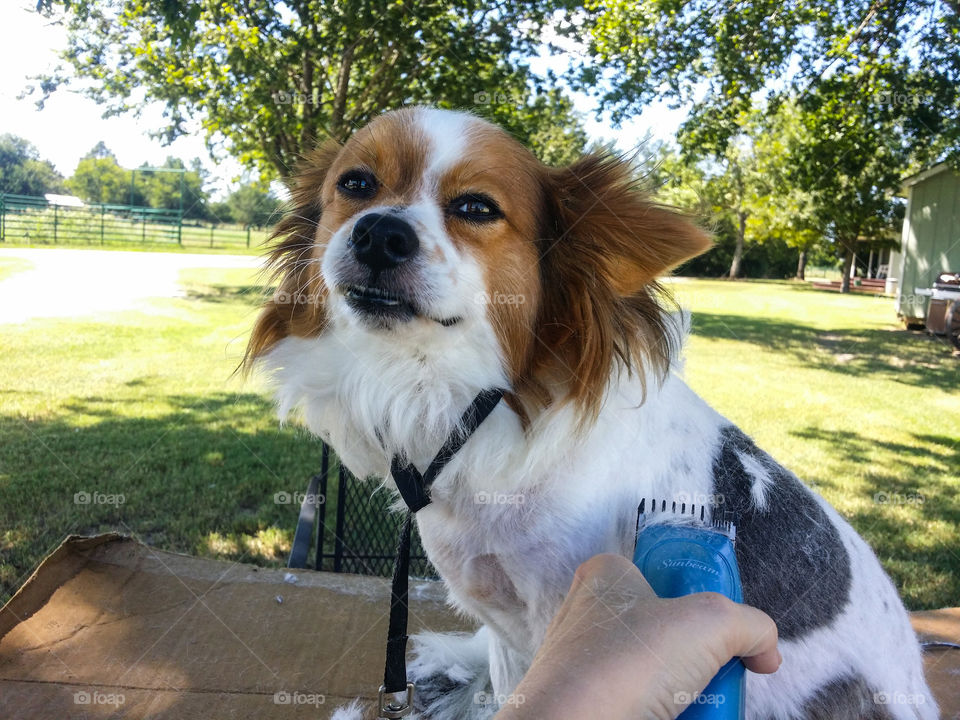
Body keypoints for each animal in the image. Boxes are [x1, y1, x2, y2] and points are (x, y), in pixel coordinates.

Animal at [242, 107, 936, 720]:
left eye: (476, 208)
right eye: (356, 185)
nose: (379, 232)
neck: (455, 399)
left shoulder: (560, 611)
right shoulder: (510, 624)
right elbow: (507, 682)